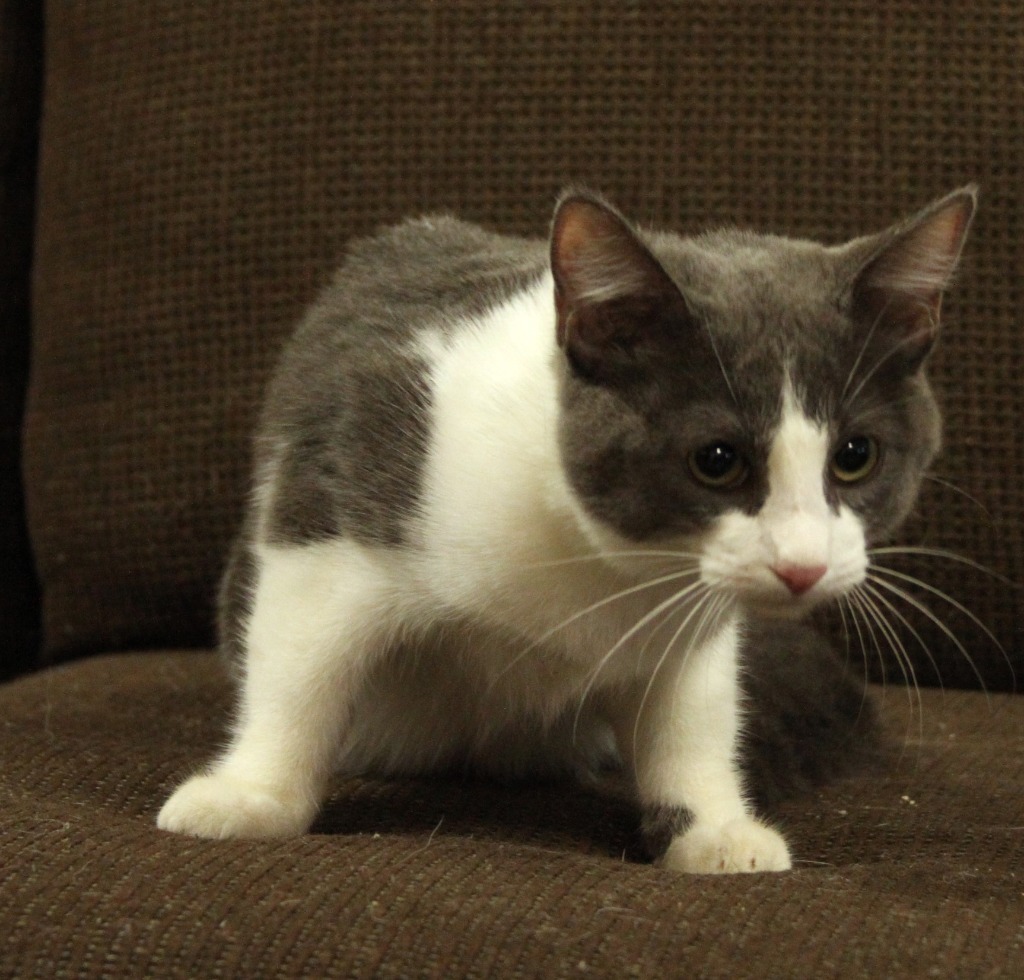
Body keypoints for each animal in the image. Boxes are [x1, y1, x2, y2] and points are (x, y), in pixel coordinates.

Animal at [157, 183, 974, 872]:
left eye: (856, 456)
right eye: (716, 460)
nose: (802, 566)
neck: (594, 562)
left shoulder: (689, 620)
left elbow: (692, 712)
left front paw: (711, 828)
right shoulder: (342, 473)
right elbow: (301, 662)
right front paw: (251, 795)